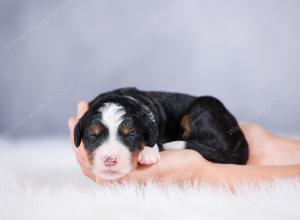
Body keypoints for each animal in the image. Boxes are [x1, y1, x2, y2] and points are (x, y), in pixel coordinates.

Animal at [74, 87, 247, 180]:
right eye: (93, 136)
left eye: (131, 135)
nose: (110, 160)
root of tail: (240, 136)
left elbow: (154, 138)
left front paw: (148, 152)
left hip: (204, 106)